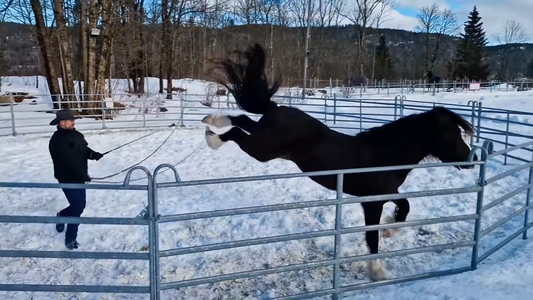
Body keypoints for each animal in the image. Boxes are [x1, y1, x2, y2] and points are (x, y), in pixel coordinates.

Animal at [202, 44, 476, 282]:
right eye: (449, 135)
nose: (470, 161)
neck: (384, 153)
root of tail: (278, 109)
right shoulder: (371, 202)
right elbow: (372, 236)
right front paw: (377, 271)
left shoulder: (387, 193)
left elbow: (405, 206)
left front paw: (390, 229)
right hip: (261, 150)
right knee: (236, 132)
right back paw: (211, 138)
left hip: (262, 140)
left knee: (241, 119)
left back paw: (211, 121)